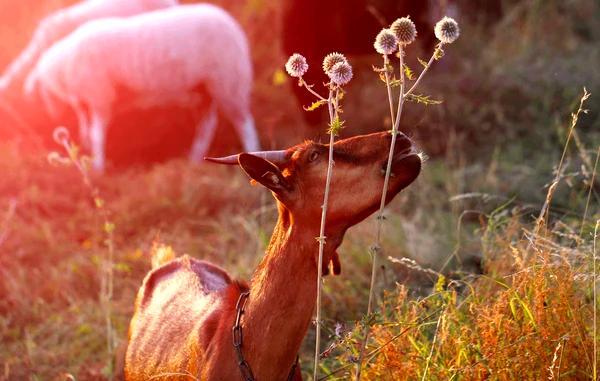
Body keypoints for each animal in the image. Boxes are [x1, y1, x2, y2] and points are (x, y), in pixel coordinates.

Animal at [24, 3, 258, 171]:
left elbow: (97, 133)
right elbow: (87, 127)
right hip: (204, 88)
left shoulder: (100, 95)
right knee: (206, 125)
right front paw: (87, 151)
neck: (64, 68)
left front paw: (98, 167)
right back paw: (194, 161)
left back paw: (251, 155)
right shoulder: (89, 98)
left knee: (244, 124)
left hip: (229, 80)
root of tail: (232, 24)